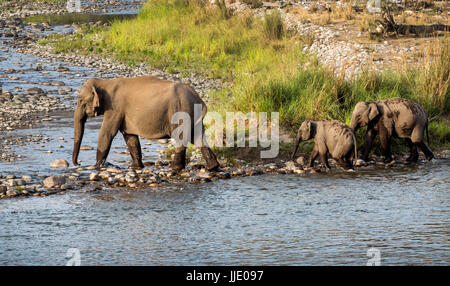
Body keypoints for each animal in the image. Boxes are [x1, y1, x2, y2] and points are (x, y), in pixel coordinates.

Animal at [71, 75, 220, 170]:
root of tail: (198, 98)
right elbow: (130, 137)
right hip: (191, 113)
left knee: (181, 137)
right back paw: (212, 167)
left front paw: (95, 167)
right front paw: (135, 167)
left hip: (180, 111)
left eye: (80, 101)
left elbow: (106, 133)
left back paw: (174, 167)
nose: (78, 164)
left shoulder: (115, 109)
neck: (105, 83)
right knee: (198, 136)